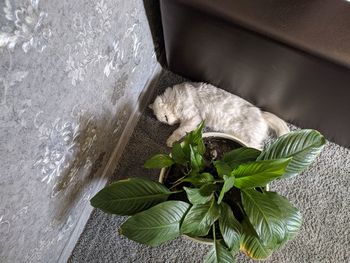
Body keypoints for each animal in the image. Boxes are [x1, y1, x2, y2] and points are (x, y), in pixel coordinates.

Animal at [149, 81, 288, 150]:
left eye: (166, 118)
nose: (171, 123)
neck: (175, 97)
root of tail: (261, 113)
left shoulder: (193, 117)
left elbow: (178, 131)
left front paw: (170, 141)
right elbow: (181, 129)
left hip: (248, 140)